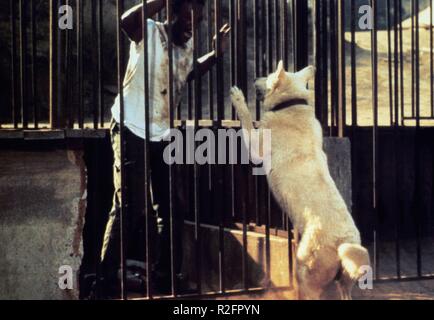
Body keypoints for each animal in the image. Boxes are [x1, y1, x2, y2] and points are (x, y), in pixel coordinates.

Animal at [231, 60, 370, 300]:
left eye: (268, 75)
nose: (254, 78)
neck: (291, 104)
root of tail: (343, 243)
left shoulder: (257, 148)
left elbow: (247, 120)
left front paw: (238, 97)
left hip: (306, 272)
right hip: (344, 281)